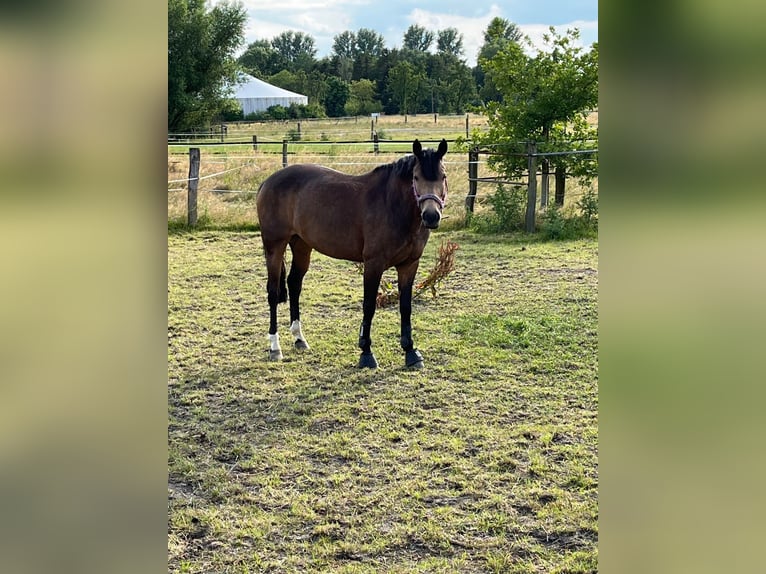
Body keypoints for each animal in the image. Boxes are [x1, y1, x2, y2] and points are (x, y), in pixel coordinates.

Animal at [256, 139, 449, 369]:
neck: (391, 204)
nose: (431, 216)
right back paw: (275, 348)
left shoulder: (409, 264)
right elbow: (369, 306)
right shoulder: (373, 264)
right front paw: (366, 353)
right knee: (273, 292)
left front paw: (411, 352)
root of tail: (267, 182)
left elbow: (405, 306)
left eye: (443, 176)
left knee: (294, 284)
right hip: (274, 247)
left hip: (301, 245)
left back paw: (299, 338)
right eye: (416, 177)